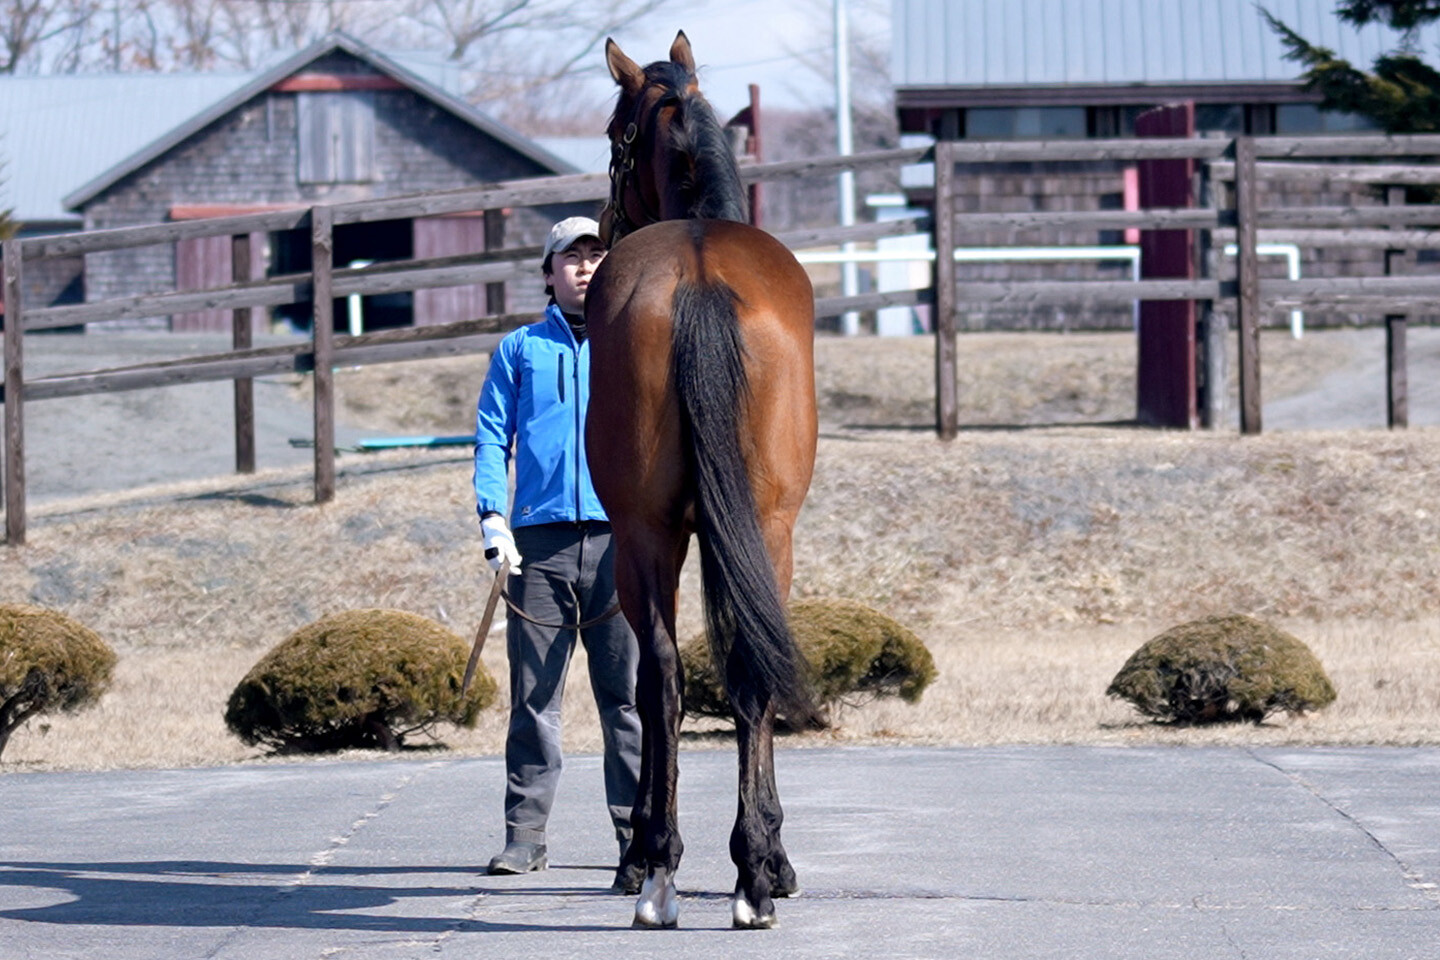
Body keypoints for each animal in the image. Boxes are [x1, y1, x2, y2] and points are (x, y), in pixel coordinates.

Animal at [583, 32, 820, 930]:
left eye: (613, 135)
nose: (604, 222)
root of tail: (699, 277)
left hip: (650, 538)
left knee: (668, 676)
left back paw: (666, 869)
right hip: (757, 530)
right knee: (724, 670)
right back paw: (740, 873)